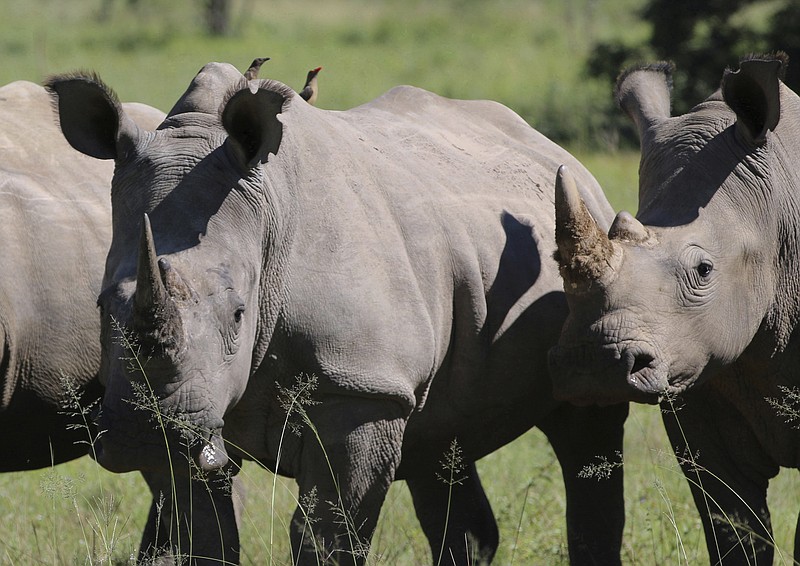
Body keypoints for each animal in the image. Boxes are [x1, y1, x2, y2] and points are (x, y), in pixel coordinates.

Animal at [48, 62, 632, 566]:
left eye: (239, 314)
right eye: (100, 306)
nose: (143, 437)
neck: (269, 216)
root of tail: (551, 148)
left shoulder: (361, 389)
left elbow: (327, 537)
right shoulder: (202, 411)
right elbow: (204, 539)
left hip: (587, 259)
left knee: (588, 428)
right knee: (442, 441)